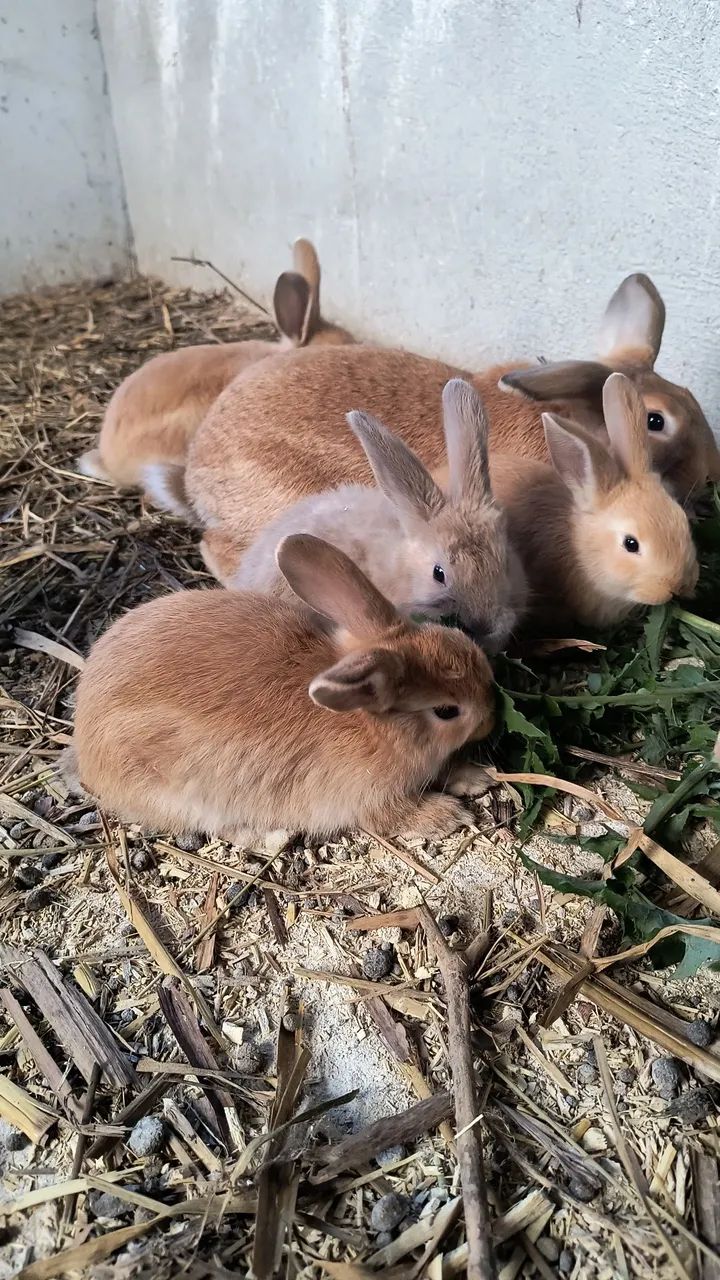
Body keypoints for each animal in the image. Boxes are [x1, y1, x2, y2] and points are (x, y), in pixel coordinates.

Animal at [67, 533, 496, 844]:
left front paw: (479, 777)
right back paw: (272, 837)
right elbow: (397, 816)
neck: (372, 726)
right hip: (189, 795)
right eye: (446, 711)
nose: (491, 720)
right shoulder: (369, 800)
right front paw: (449, 815)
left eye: (458, 641)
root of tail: (85, 745)